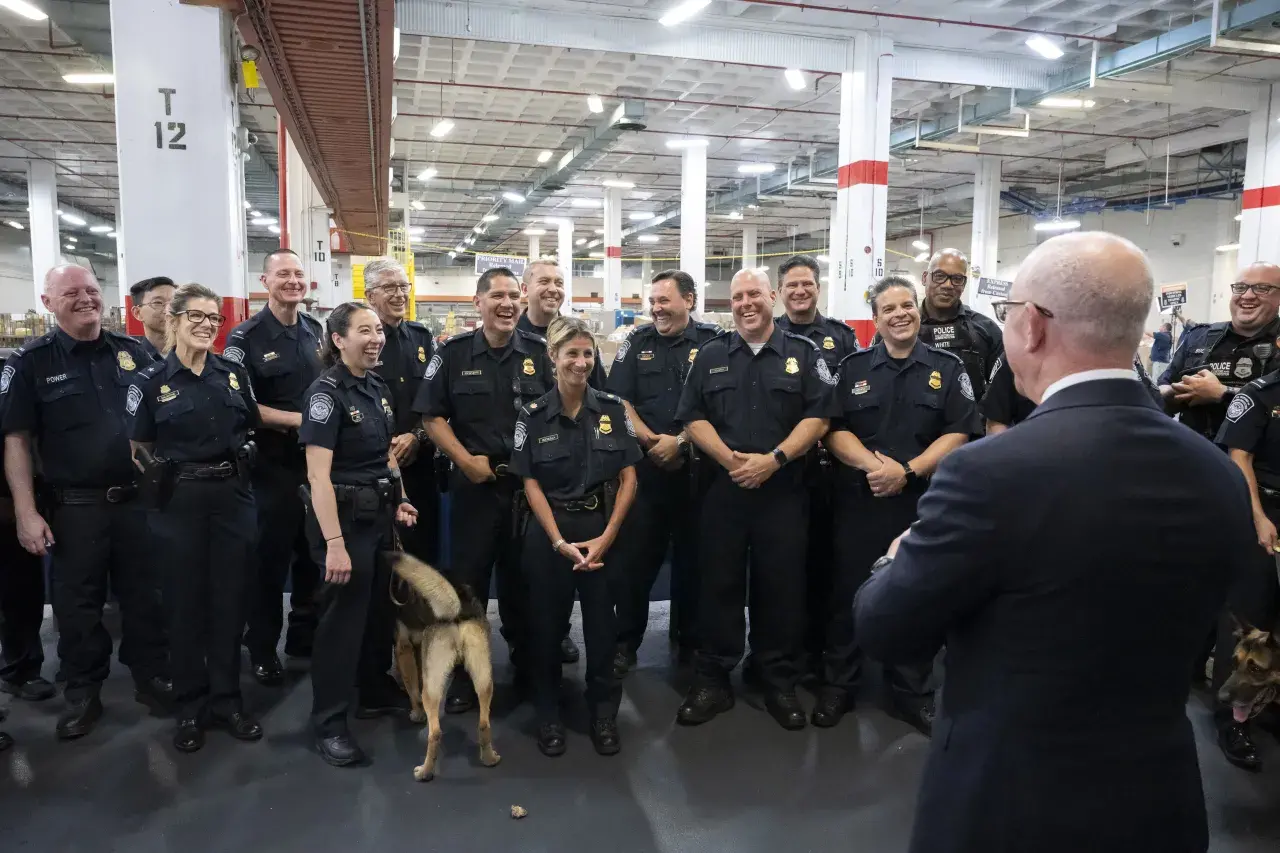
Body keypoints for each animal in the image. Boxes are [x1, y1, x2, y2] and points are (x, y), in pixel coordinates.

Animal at [384, 548, 499, 778]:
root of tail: (458, 608)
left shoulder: (403, 648)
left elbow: (412, 688)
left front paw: (416, 713)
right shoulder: (419, 650)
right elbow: (416, 679)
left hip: (433, 689)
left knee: (435, 731)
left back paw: (424, 772)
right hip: (483, 677)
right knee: (484, 723)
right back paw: (489, 759)